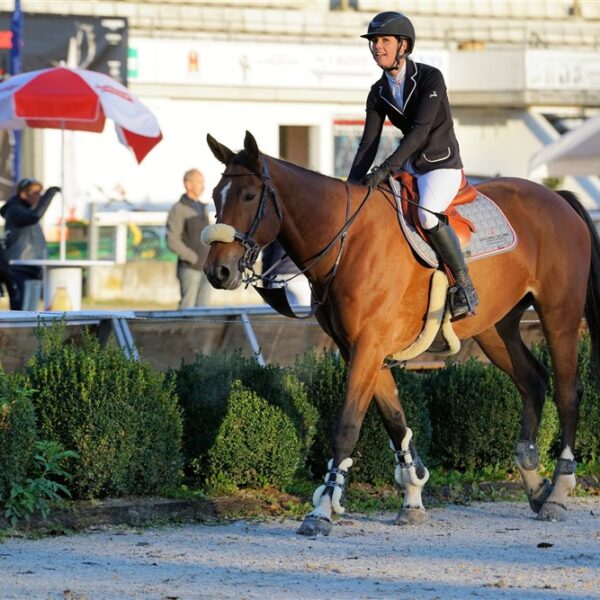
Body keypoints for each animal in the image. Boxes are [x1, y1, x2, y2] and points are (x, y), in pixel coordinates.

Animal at [202, 131, 600, 537]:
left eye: (249, 195)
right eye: (216, 195)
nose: (218, 271)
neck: (346, 238)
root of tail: (557, 198)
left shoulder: (369, 346)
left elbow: (347, 426)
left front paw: (323, 509)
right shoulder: (360, 349)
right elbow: (395, 421)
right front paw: (411, 498)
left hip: (559, 313)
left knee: (568, 391)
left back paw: (558, 493)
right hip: (496, 327)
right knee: (533, 380)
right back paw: (535, 484)